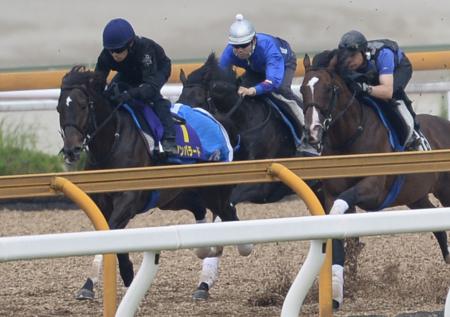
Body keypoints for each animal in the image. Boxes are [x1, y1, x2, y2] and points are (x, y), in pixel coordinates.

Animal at [57, 66, 253, 298]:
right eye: (59, 109)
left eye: (83, 106)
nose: (71, 150)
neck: (113, 142)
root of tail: (217, 120)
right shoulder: (103, 202)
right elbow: (108, 234)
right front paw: (111, 279)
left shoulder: (128, 199)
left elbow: (110, 232)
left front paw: (102, 282)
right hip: (174, 197)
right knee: (200, 208)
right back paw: (204, 250)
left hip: (213, 191)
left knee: (228, 212)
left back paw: (243, 248)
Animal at [300, 52, 450, 308]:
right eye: (301, 89)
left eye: (329, 89)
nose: (313, 131)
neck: (350, 136)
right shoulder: (331, 192)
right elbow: (339, 230)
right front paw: (337, 292)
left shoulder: (373, 187)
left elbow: (343, 202)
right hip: (416, 196)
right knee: (437, 226)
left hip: (445, 190)